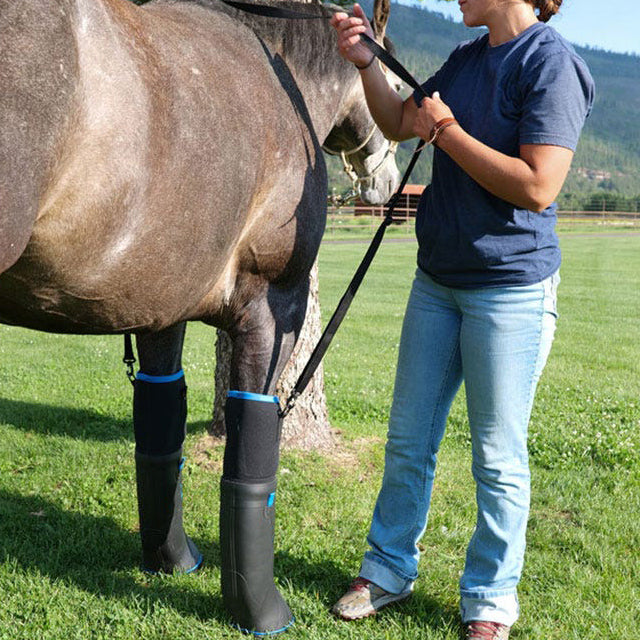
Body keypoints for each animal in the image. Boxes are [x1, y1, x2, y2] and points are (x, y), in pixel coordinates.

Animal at [0, 0, 398, 634]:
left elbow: (160, 441)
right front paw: (262, 612)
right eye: (389, 79)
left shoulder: (159, 308)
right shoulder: (271, 312)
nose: (384, 182)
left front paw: (173, 560)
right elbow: (251, 470)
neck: (280, 71)